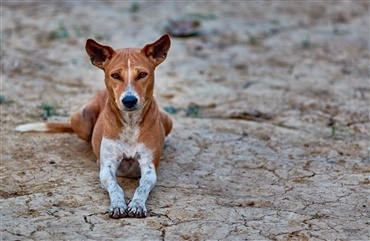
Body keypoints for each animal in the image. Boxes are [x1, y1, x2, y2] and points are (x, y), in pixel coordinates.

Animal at [15, 34, 174, 218]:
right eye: (115, 75)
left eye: (142, 74)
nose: (129, 100)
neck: (130, 123)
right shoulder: (107, 167)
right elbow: (115, 186)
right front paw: (118, 204)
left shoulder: (148, 167)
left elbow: (142, 187)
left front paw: (136, 204)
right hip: (82, 121)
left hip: (168, 120)